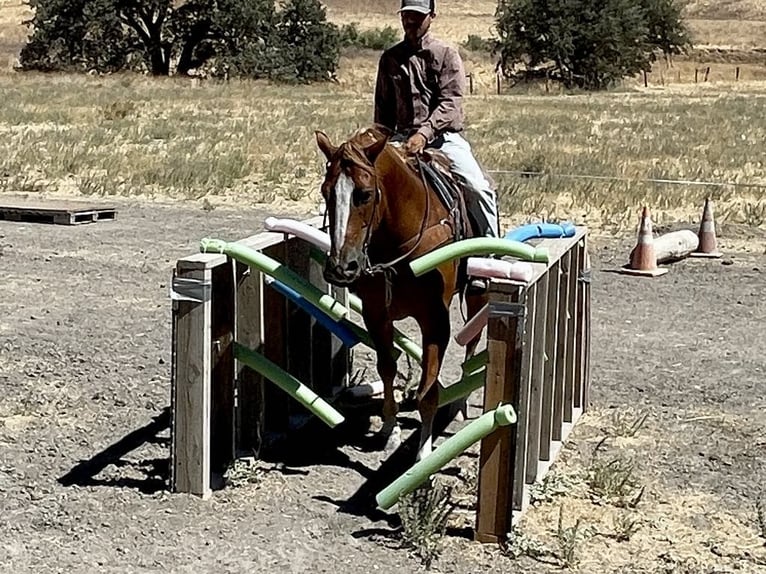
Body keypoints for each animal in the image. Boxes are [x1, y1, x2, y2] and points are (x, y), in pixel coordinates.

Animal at [314, 126, 487, 461]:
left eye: (365, 194)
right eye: (326, 192)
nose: (341, 268)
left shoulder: (435, 320)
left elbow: (428, 388)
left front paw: (424, 449)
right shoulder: (376, 314)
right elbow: (387, 368)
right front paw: (389, 429)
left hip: (476, 297)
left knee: (472, 345)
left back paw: (460, 405)